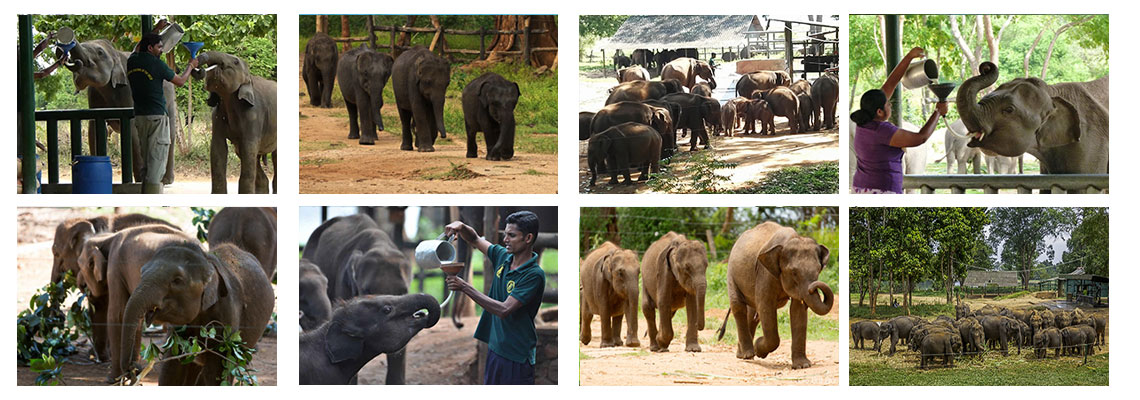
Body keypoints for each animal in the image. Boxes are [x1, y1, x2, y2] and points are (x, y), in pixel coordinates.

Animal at [64, 39, 179, 184]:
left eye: (100, 52)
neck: (116, 53)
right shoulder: (94, 95)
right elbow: (94, 127)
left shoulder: (129, 90)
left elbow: (132, 129)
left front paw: (140, 180)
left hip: (171, 101)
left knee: (170, 134)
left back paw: (166, 180)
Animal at [77, 224, 198, 382]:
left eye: (80, 265)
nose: (81, 284)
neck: (107, 238)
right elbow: (135, 318)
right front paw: (131, 373)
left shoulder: (115, 265)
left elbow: (118, 314)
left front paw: (112, 379)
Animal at [120, 243, 274, 385]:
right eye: (142, 272)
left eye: (177, 280)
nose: (133, 368)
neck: (207, 261)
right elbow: (171, 369)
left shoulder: (227, 315)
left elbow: (217, 373)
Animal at [193, 51, 277, 194]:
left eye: (236, 62)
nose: (200, 69)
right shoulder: (216, 116)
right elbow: (218, 149)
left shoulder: (253, 116)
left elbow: (248, 148)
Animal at [719, 222, 833, 369]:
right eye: (794, 272)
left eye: (818, 270)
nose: (814, 287)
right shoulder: (765, 272)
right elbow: (766, 306)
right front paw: (759, 349)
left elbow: (797, 310)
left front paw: (802, 366)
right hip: (731, 273)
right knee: (738, 306)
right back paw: (748, 354)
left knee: (752, 313)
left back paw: (743, 354)